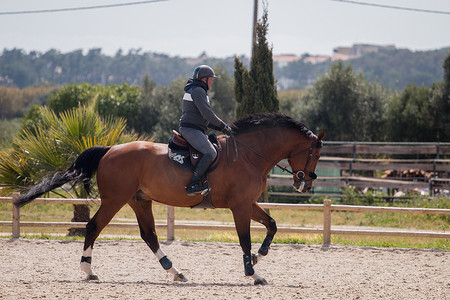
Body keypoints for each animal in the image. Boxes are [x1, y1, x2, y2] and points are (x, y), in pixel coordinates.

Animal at [14, 113, 324, 286]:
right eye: (316, 153)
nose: (305, 183)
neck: (248, 153)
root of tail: (110, 149)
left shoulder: (248, 203)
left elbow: (272, 225)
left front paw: (259, 258)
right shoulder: (239, 206)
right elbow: (245, 239)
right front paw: (253, 274)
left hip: (139, 201)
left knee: (149, 235)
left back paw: (175, 272)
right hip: (115, 199)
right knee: (93, 227)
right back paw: (88, 270)